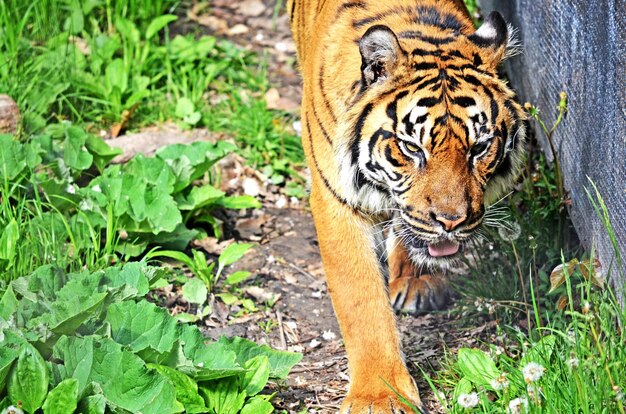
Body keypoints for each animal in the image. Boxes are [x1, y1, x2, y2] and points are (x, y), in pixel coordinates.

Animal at [286, 0, 524, 410]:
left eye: (478, 148)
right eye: (413, 148)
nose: (451, 221)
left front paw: (417, 278)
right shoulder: (335, 200)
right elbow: (362, 301)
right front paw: (379, 396)